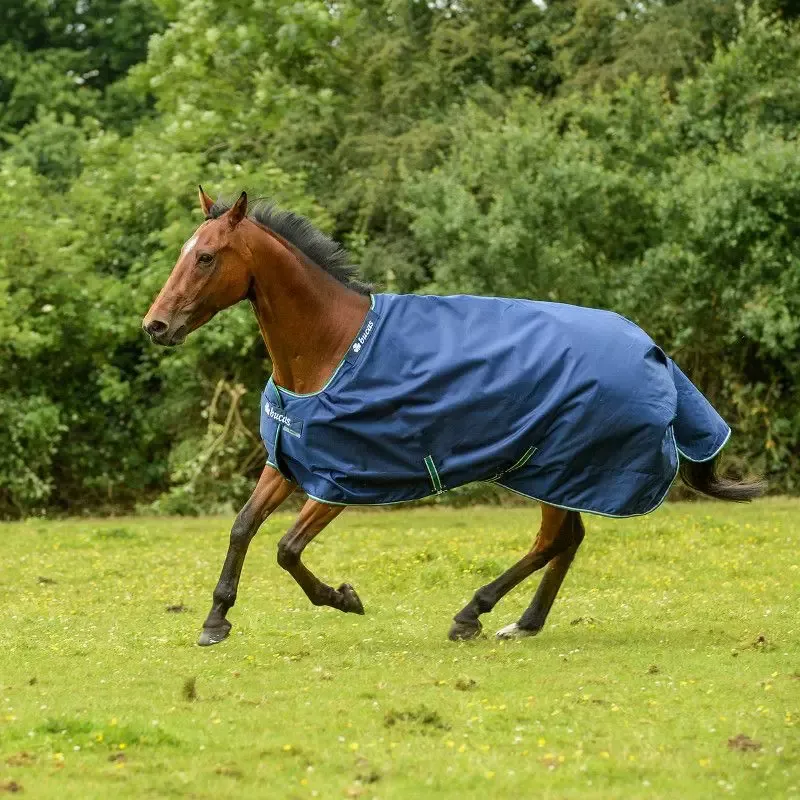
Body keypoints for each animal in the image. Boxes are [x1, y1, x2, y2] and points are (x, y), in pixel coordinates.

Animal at [142, 188, 764, 646]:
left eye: (205, 257)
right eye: (183, 252)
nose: (155, 326)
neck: (331, 348)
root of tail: (653, 350)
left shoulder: (340, 480)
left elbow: (287, 549)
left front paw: (343, 598)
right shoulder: (289, 462)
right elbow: (243, 527)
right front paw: (215, 620)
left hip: (558, 465)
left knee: (553, 541)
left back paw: (474, 613)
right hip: (563, 472)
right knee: (569, 538)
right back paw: (523, 623)